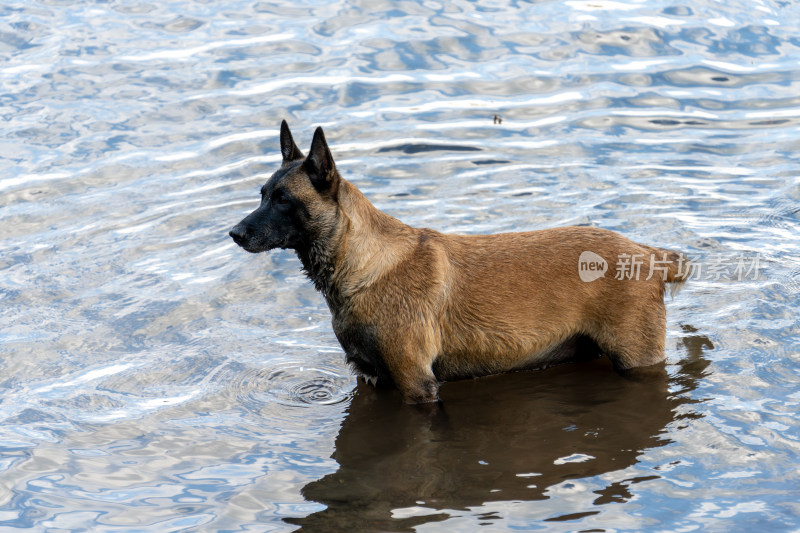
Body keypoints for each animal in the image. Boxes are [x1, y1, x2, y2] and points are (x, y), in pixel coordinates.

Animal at [230, 120, 688, 404]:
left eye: (283, 200)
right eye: (262, 195)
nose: (235, 233)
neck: (364, 266)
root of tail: (649, 255)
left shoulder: (416, 384)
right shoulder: (372, 377)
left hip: (636, 359)